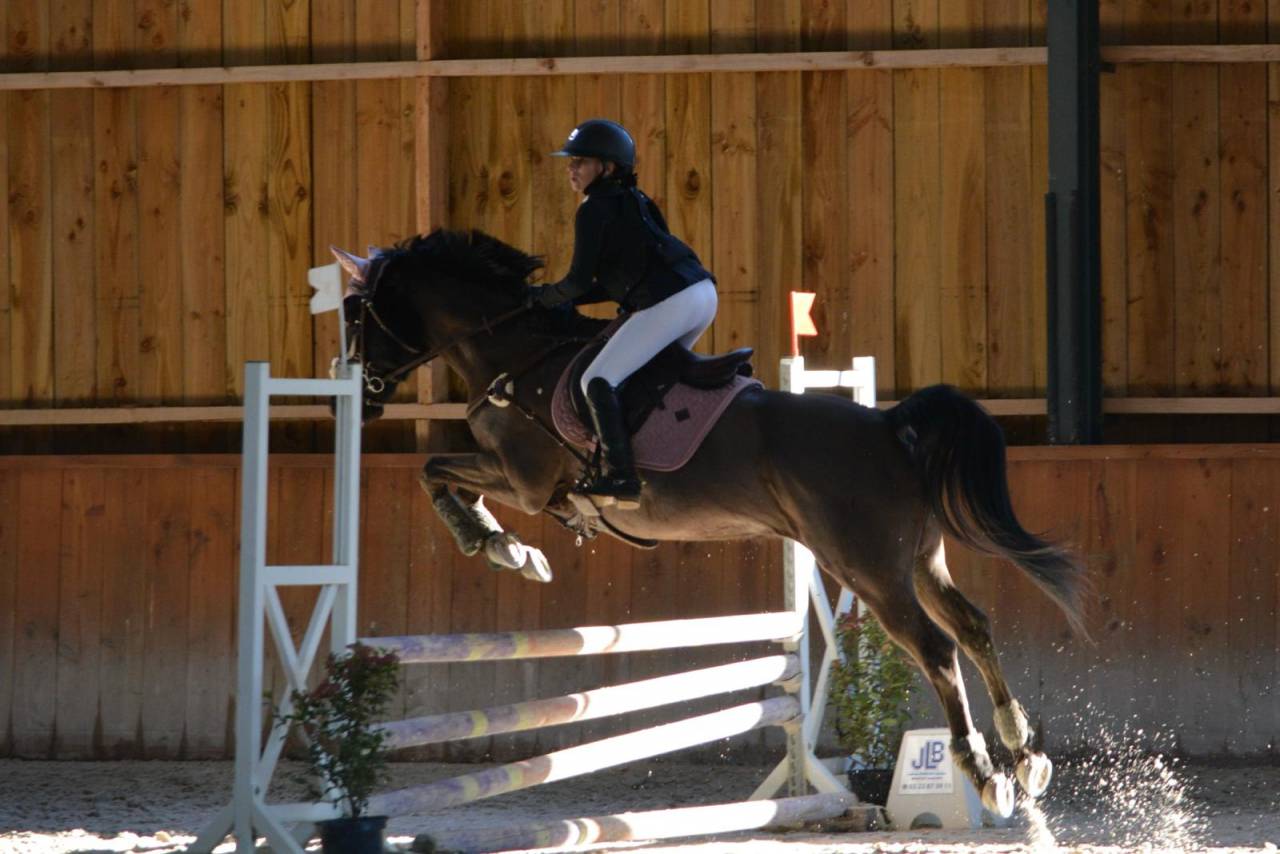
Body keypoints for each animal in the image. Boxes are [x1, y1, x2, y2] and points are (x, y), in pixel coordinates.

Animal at [331, 228, 1086, 817]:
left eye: (357, 312)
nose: (360, 393)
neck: (516, 356)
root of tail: (885, 425)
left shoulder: (526, 479)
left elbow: (436, 471)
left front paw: (496, 546)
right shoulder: (524, 481)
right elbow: (440, 474)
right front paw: (510, 549)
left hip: (866, 566)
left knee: (934, 646)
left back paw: (985, 774)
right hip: (917, 560)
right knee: (972, 626)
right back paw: (1024, 754)